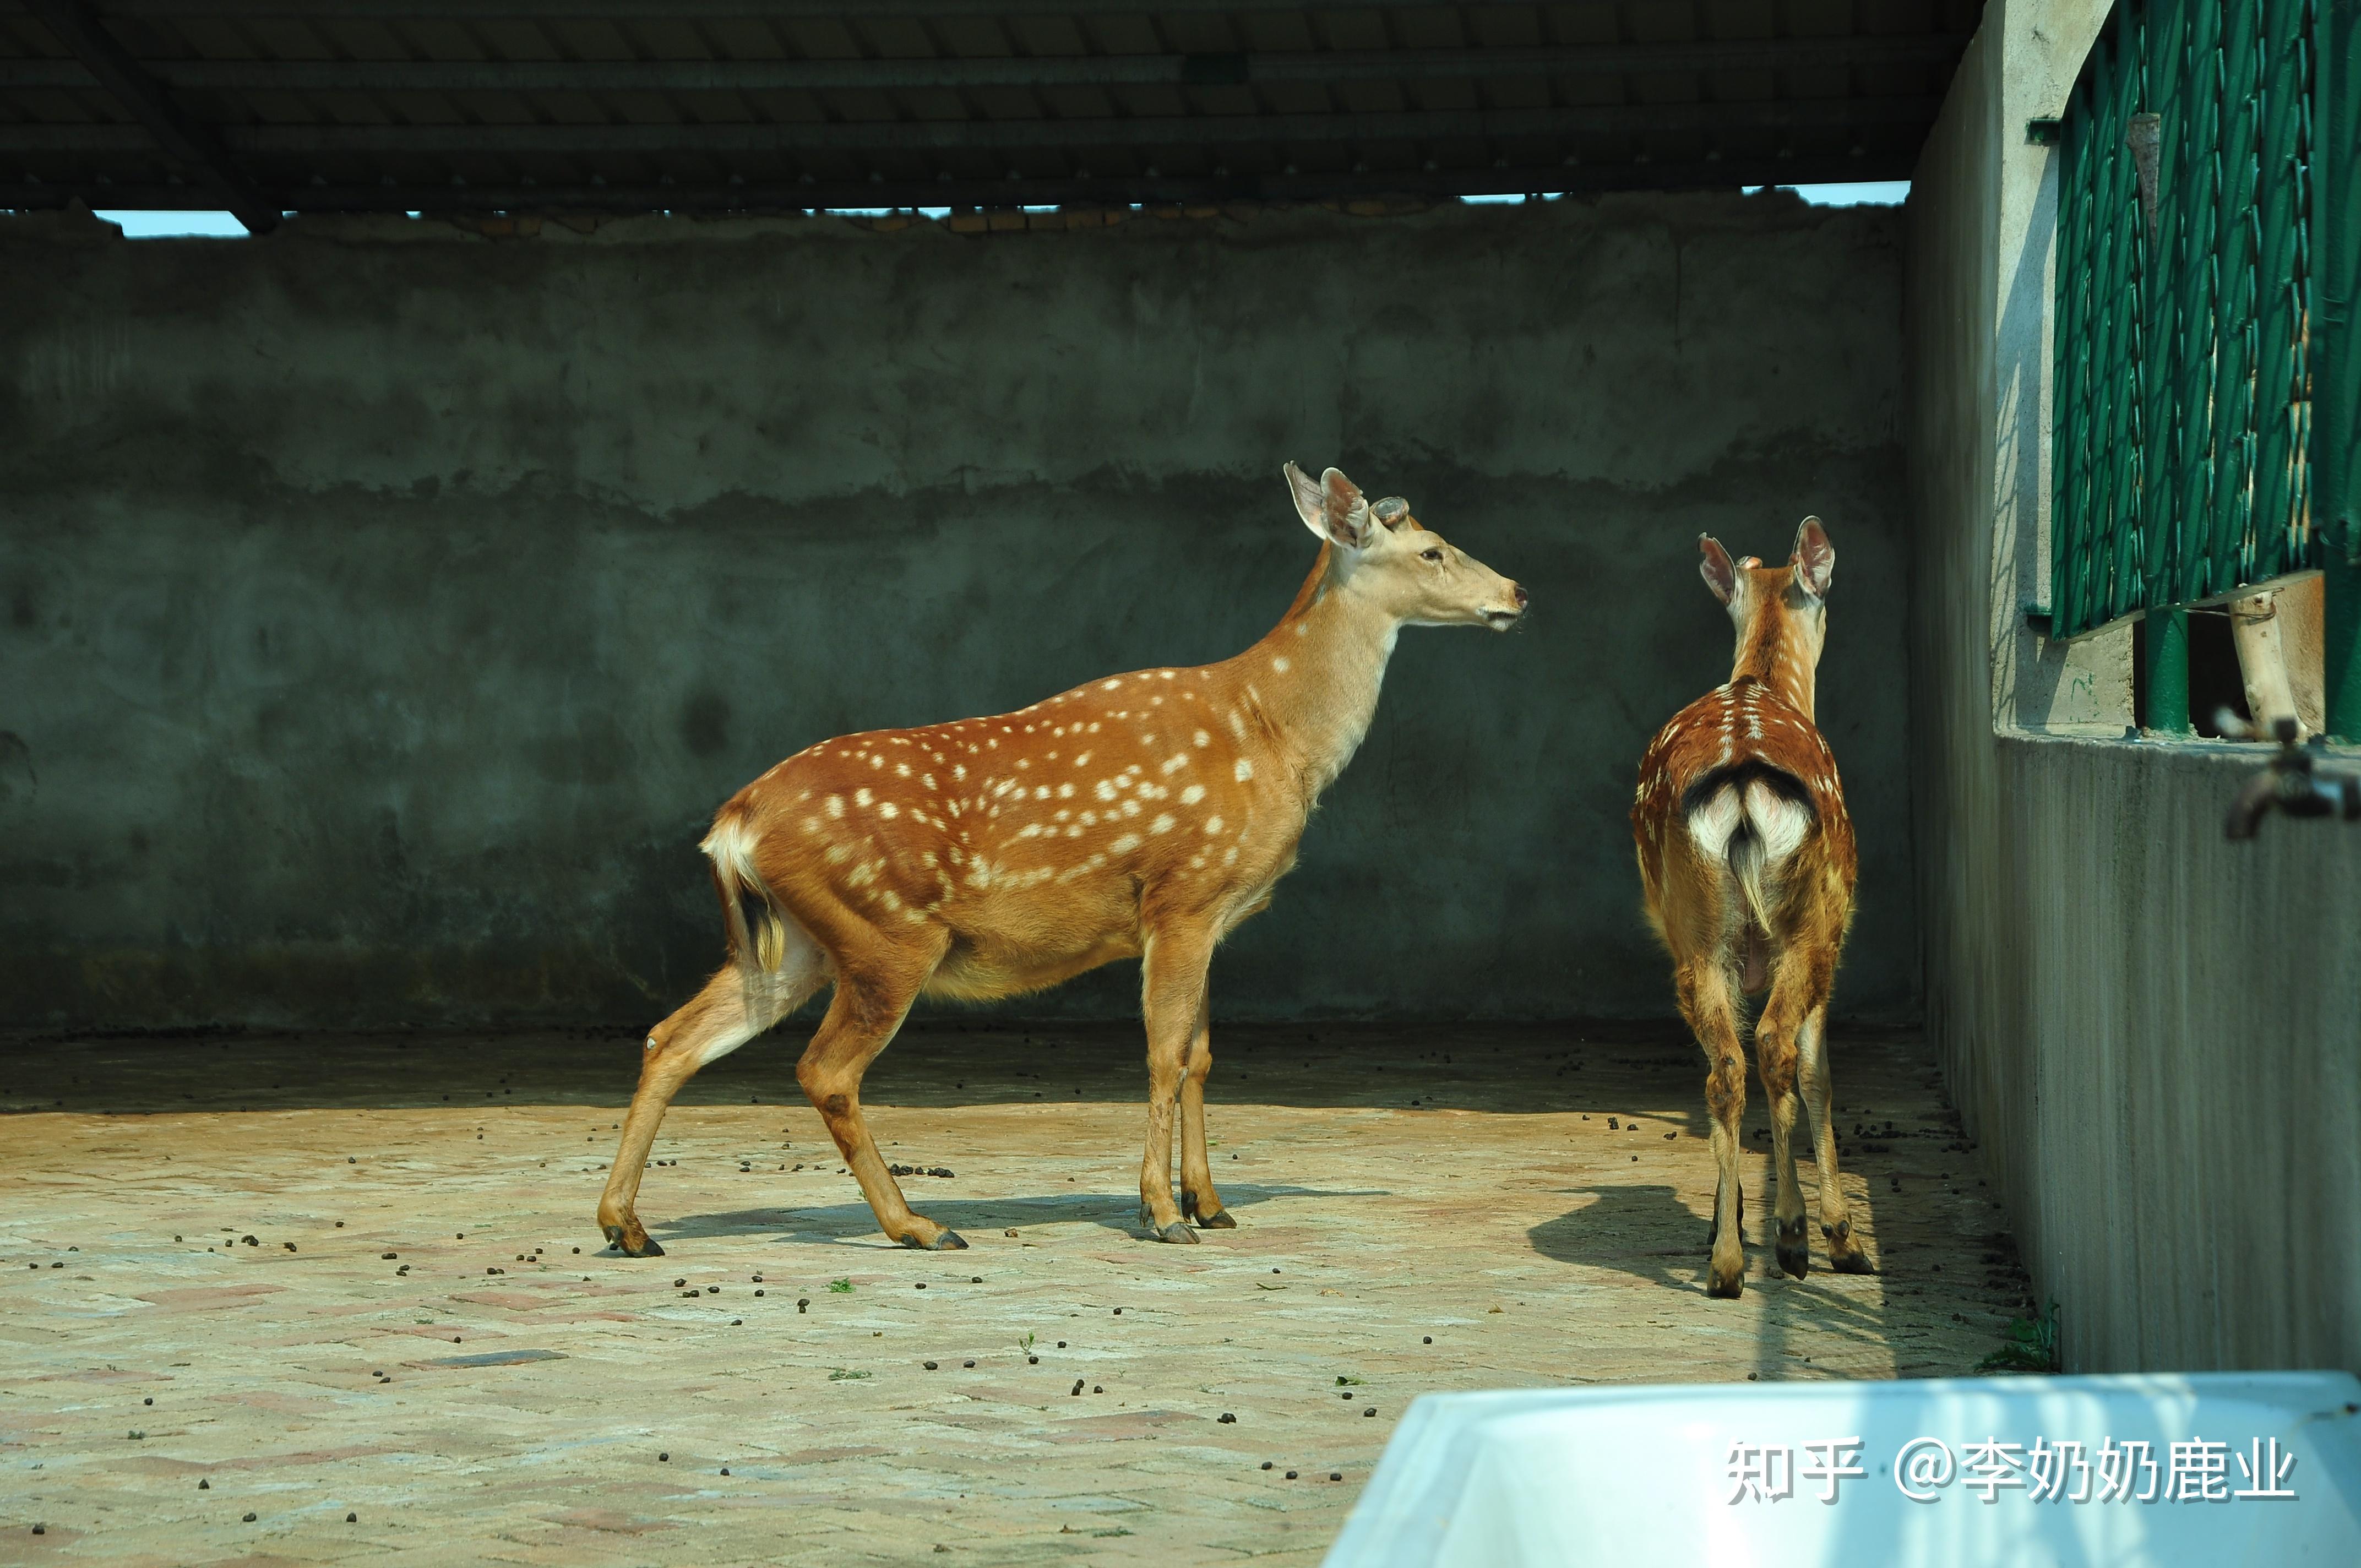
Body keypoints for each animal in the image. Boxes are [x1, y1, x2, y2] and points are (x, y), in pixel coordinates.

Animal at [595, 460, 1530, 1256]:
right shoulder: (1182, 894)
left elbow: (1199, 1057)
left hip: (797, 941)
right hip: (887, 934)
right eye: (1432, 549)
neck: (1275, 733)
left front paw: (1211, 1204)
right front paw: (1162, 1215)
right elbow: (1162, 1054)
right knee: (824, 1070)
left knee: (671, 1037)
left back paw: (627, 1226)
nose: (1518, 591)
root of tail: (734, 821)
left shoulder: (1215, 915)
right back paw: (918, 1226)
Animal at [1634, 519, 1870, 1294]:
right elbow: (1818, 1073)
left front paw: (1722, 1217)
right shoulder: (1832, 938)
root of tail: (1740, 780)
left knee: (1726, 1066)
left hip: (1697, 931)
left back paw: (1727, 1261)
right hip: (1812, 924)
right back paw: (1797, 1237)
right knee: (1772, 1049)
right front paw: (1835, 1237)